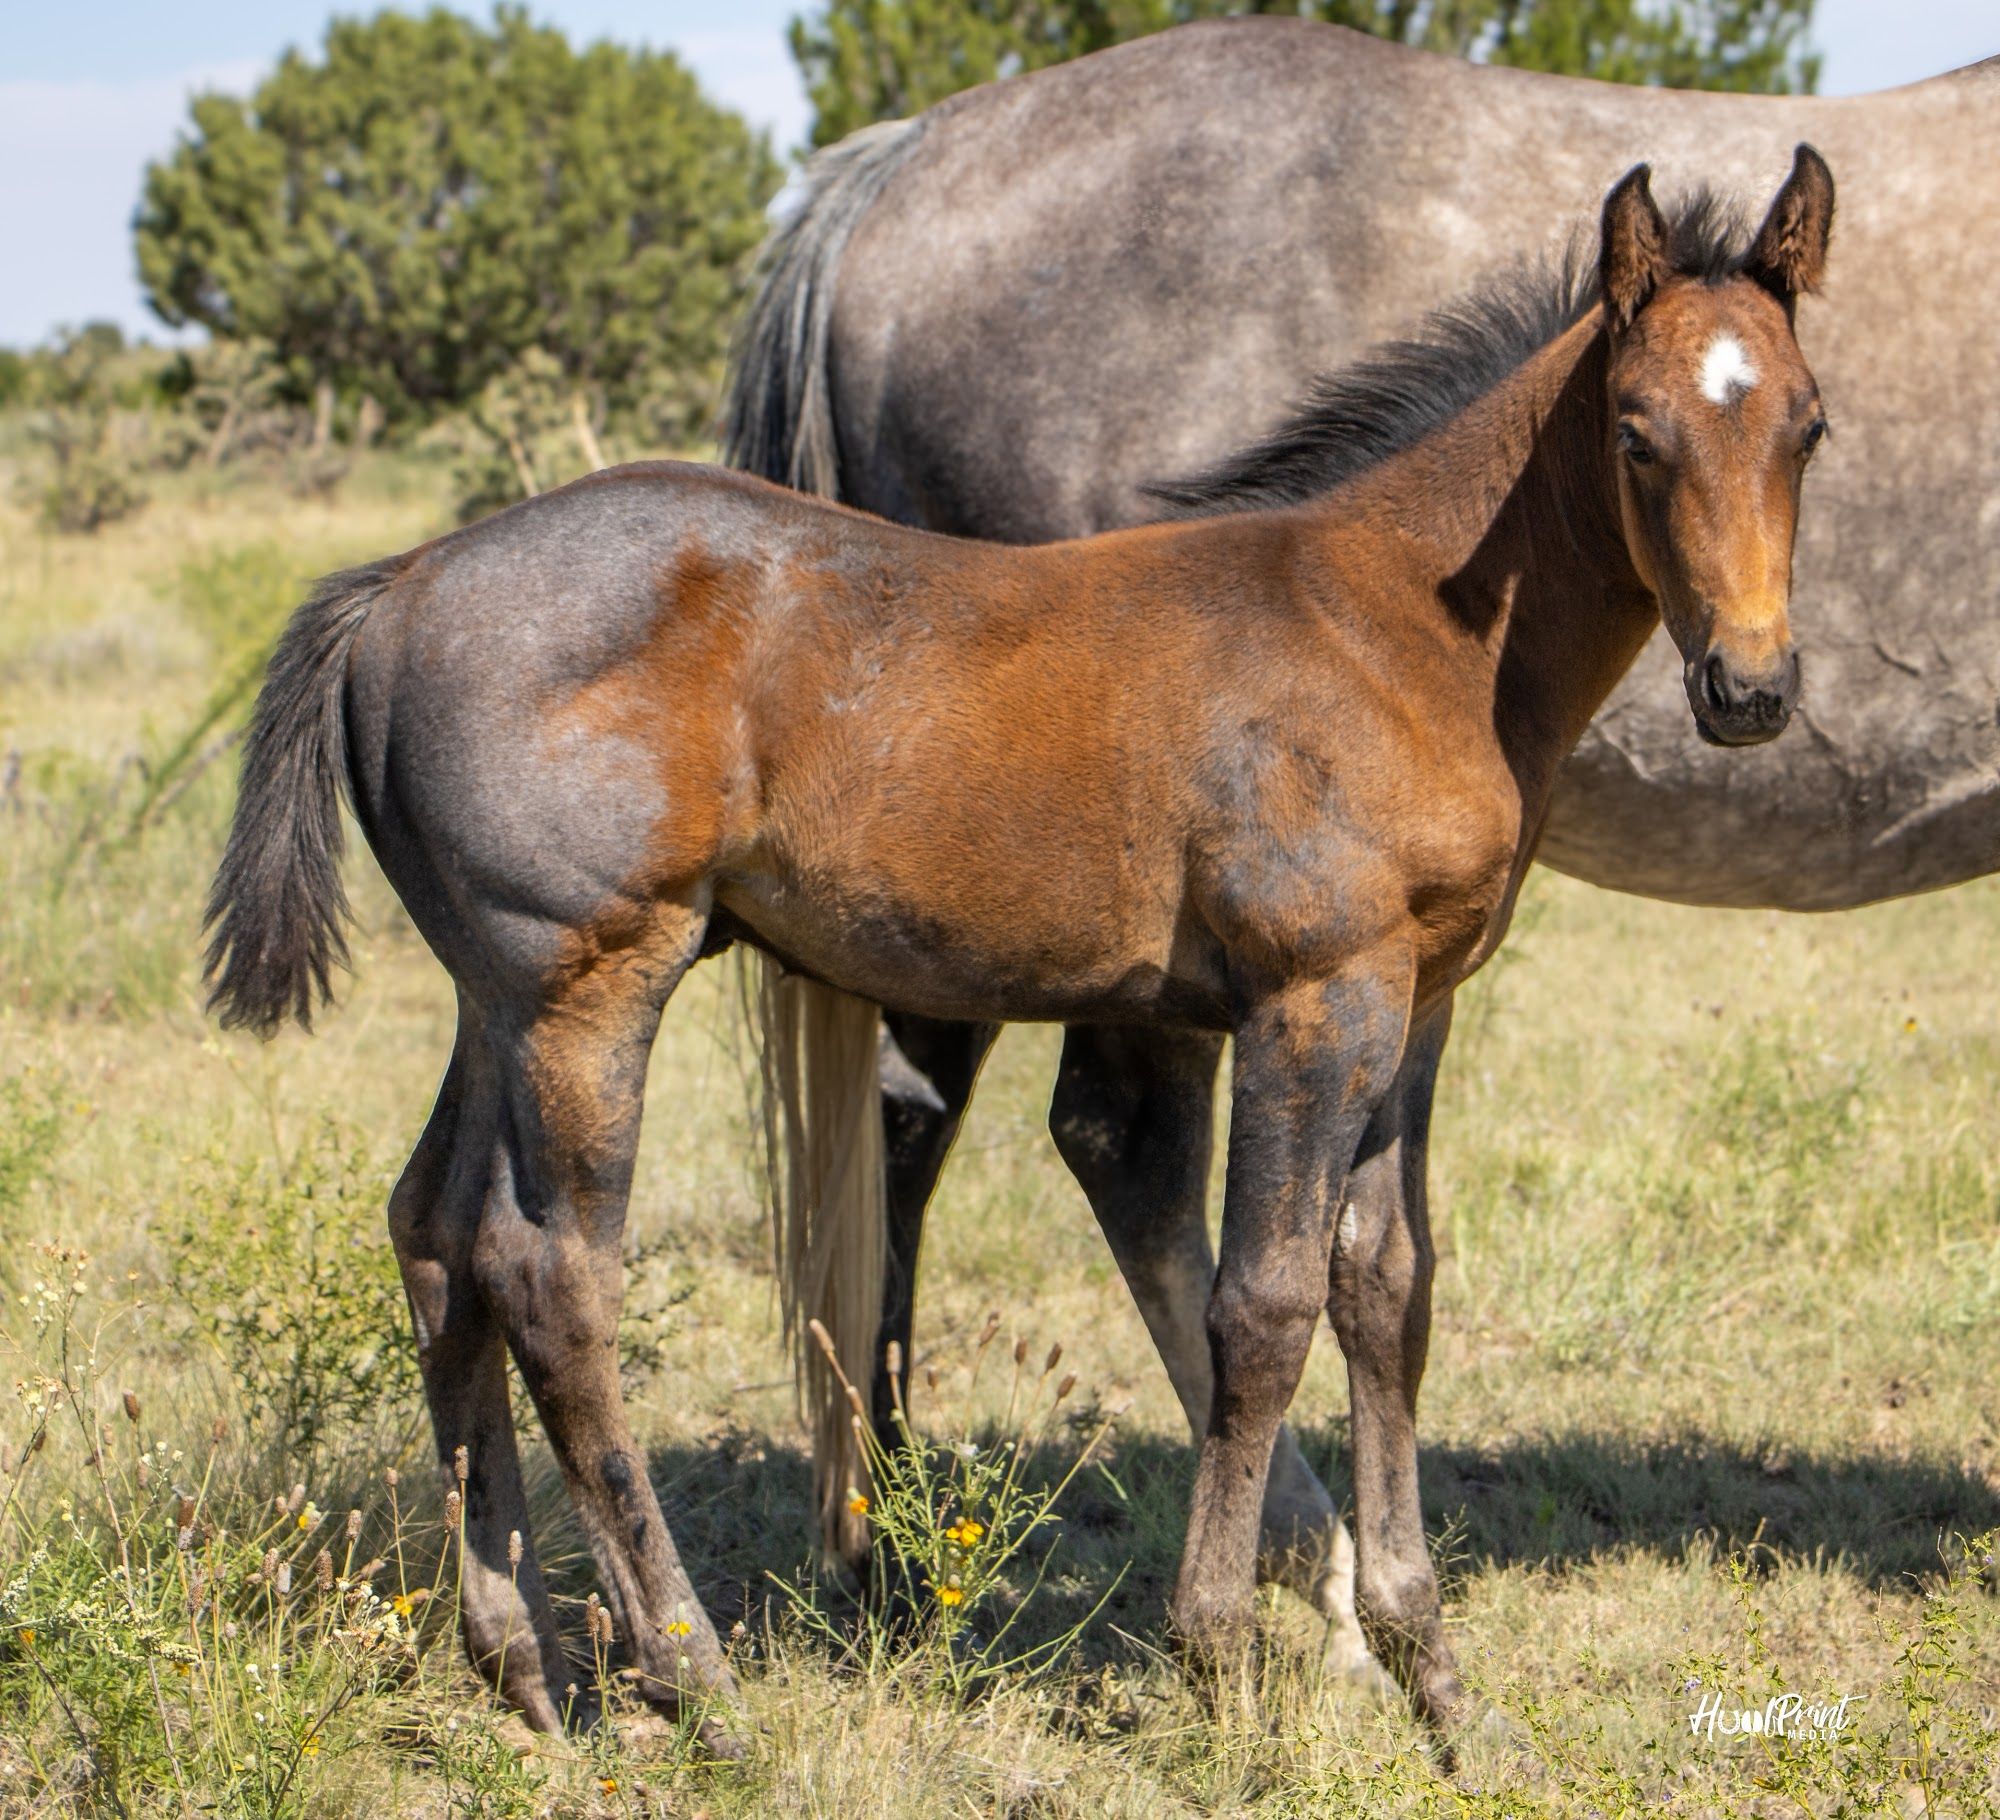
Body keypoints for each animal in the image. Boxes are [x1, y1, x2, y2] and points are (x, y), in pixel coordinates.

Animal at [205, 152, 1834, 1742]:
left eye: (1809, 426)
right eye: (1633, 432)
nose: (1748, 687)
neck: (1398, 626)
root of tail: (401, 584)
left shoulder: (1413, 1001)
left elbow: (1386, 1289)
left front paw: (1434, 1678)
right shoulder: (1312, 999)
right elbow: (1263, 1306)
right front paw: (1219, 1661)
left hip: (493, 994)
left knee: (437, 1238)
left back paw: (524, 1666)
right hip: (588, 984)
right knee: (553, 1279)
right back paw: (696, 1681)